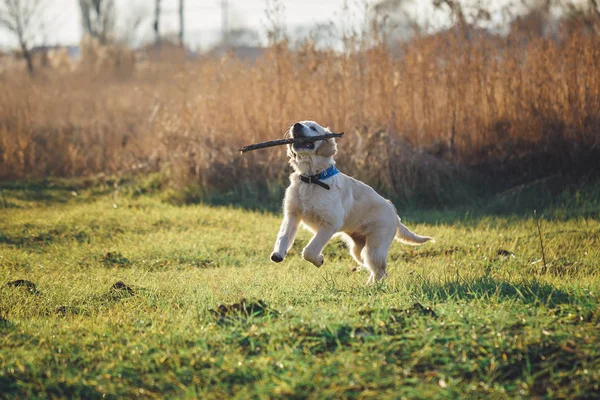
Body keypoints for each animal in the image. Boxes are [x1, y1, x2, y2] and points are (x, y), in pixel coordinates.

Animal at [270, 120, 434, 282]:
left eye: (313, 128)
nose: (296, 125)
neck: (312, 179)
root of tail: (394, 212)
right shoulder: (292, 215)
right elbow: (283, 236)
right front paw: (278, 253)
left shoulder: (330, 223)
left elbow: (310, 250)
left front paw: (318, 259)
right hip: (358, 250)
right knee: (373, 268)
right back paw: (369, 285)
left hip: (375, 246)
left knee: (380, 271)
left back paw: (374, 287)